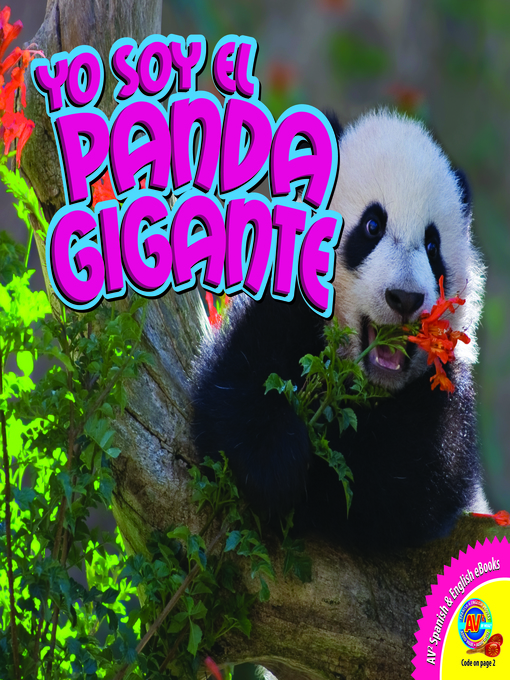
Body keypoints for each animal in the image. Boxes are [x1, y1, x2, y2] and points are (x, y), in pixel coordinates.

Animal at [191, 109, 489, 551]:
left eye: (432, 246)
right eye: (372, 226)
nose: (405, 297)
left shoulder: (446, 398)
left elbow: (397, 486)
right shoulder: (279, 316)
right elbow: (231, 393)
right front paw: (279, 460)